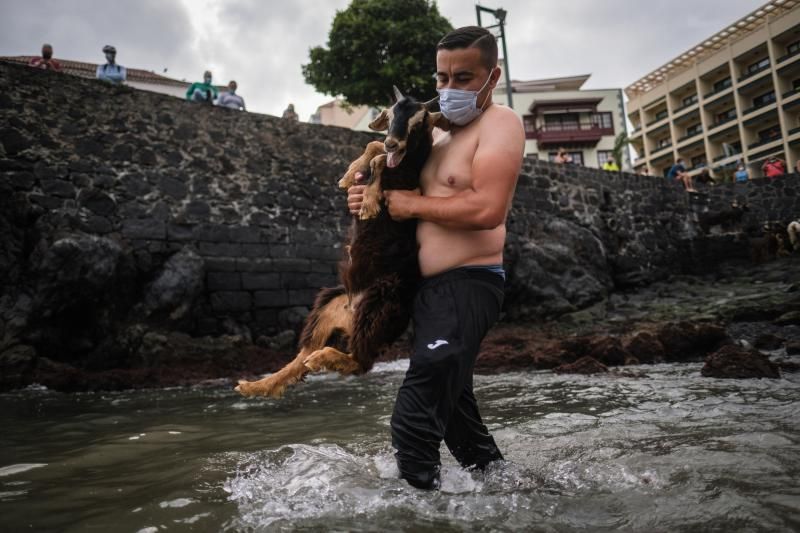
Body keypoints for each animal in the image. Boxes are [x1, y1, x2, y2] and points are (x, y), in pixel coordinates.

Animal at [236, 86, 450, 394]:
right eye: (390, 114)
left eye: (419, 120)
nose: (393, 143)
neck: (409, 157)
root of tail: (351, 313)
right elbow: (372, 147)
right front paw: (350, 175)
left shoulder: (413, 189)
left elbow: (379, 161)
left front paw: (369, 202)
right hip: (326, 306)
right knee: (301, 359)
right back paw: (257, 385)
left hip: (379, 305)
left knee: (359, 362)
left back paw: (320, 359)